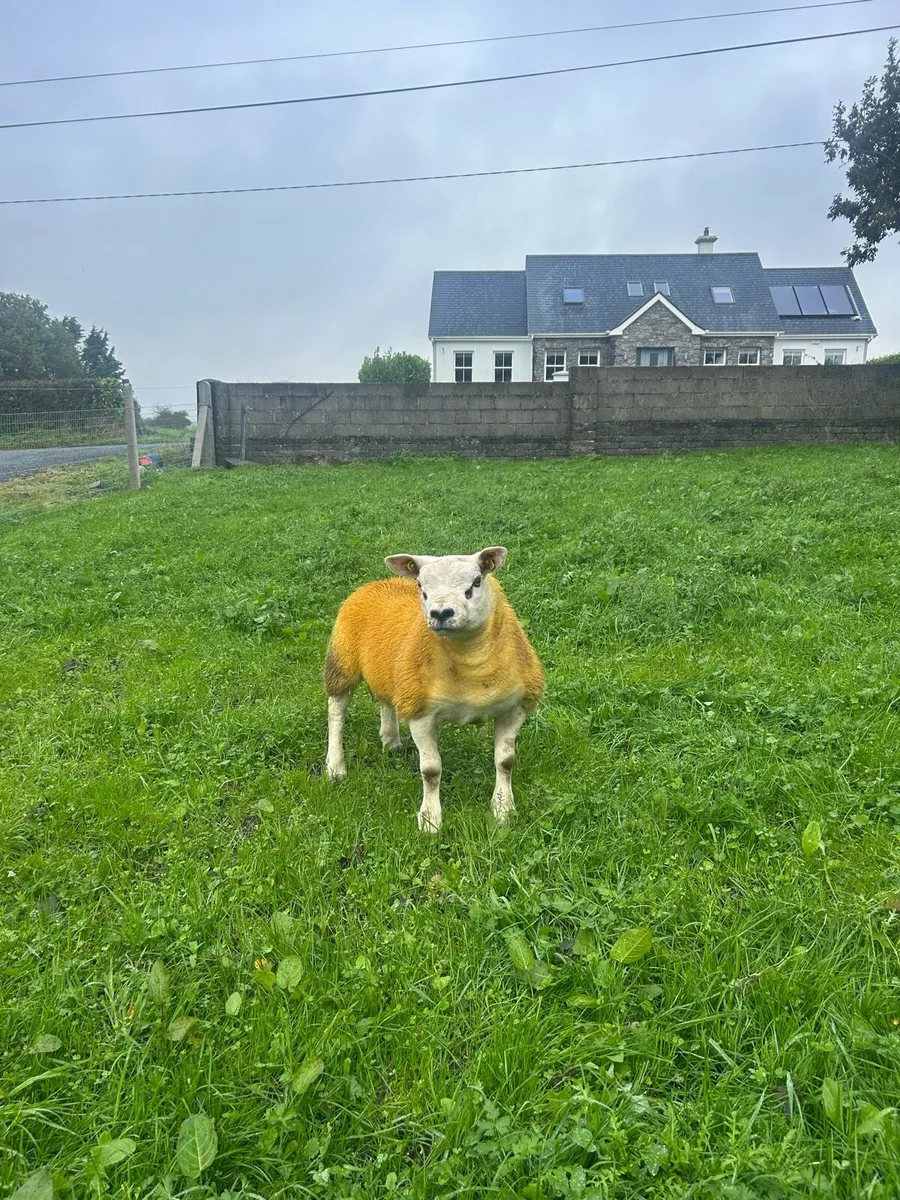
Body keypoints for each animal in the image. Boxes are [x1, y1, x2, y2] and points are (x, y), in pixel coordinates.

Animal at [324, 547, 544, 833]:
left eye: (476, 582)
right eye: (421, 586)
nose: (441, 614)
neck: (473, 668)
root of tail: (377, 583)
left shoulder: (514, 709)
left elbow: (505, 762)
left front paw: (503, 809)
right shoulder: (421, 713)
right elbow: (430, 770)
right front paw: (430, 821)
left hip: (395, 674)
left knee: (386, 699)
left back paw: (390, 741)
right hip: (342, 661)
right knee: (336, 713)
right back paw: (335, 766)